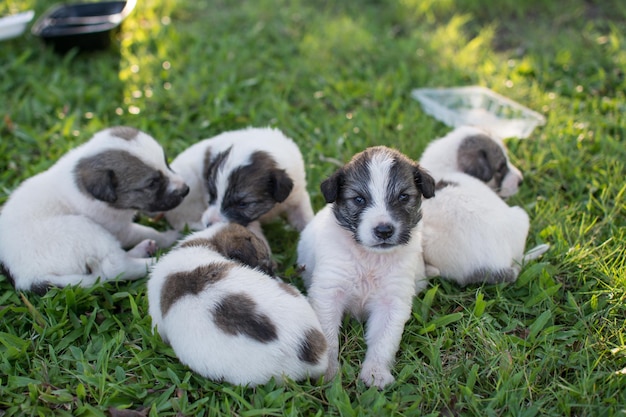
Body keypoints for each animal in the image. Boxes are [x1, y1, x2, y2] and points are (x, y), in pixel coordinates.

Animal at [0, 127, 190, 292]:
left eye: (166, 162)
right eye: (152, 183)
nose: (186, 190)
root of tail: (27, 279)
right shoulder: (119, 228)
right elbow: (148, 231)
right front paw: (170, 235)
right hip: (85, 230)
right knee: (116, 266)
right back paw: (157, 260)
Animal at [296, 145, 434, 386]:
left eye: (403, 196)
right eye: (359, 199)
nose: (384, 230)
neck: (371, 259)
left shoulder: (392, 301)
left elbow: (384, 340)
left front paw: (376, 372)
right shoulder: (329, 293)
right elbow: (328, 336)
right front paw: (328, 373)